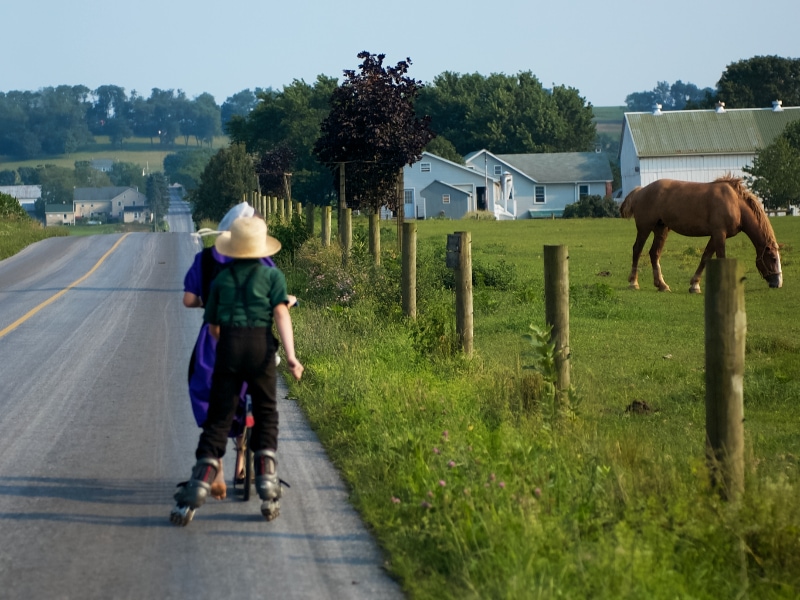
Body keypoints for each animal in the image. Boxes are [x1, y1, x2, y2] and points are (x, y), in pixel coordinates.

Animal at [620, 176, 780, 292]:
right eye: (773, 258)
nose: (778, 283)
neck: (735, 204)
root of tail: (640, 191)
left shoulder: (715, 235)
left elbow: (705, 257)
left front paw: (694, 285)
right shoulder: (719, 234)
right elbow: (720, 257)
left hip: (661, 229)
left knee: (654, 253)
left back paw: (662, 285)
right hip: (644, 228)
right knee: (637, 250)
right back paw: (633, 282)